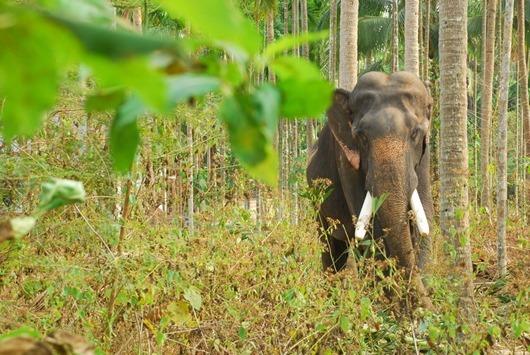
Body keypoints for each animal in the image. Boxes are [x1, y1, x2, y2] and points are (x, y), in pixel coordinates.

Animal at [306, 71, 434, 308]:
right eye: (361, 137)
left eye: (415, 133)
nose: (430, 309)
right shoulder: (346, 160)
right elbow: (371, 230)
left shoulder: (425, 157)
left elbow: (426, 219)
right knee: (331, 250)